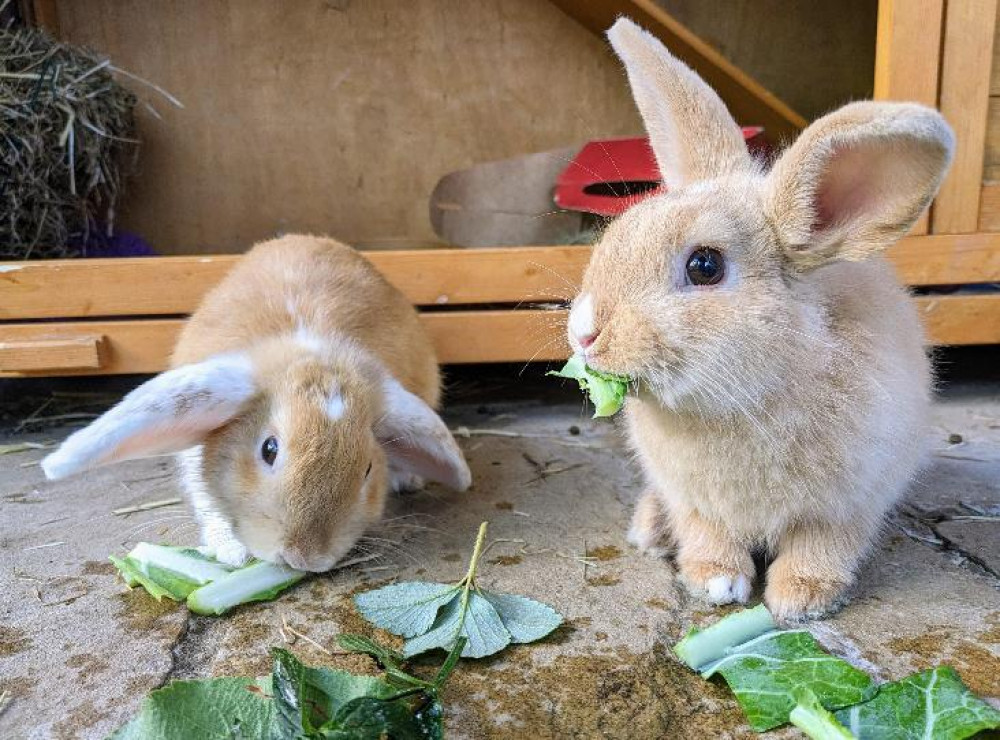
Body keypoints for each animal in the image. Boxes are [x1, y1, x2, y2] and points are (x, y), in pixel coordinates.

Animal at [568, 18, 956, 620]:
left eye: (705, 266)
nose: (585, 334)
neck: (749, 401)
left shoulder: (848, 504)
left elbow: (822, 547)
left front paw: (800, 600)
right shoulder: (694, 501)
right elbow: (706, 535)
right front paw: (716, 582)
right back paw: (649, 531)